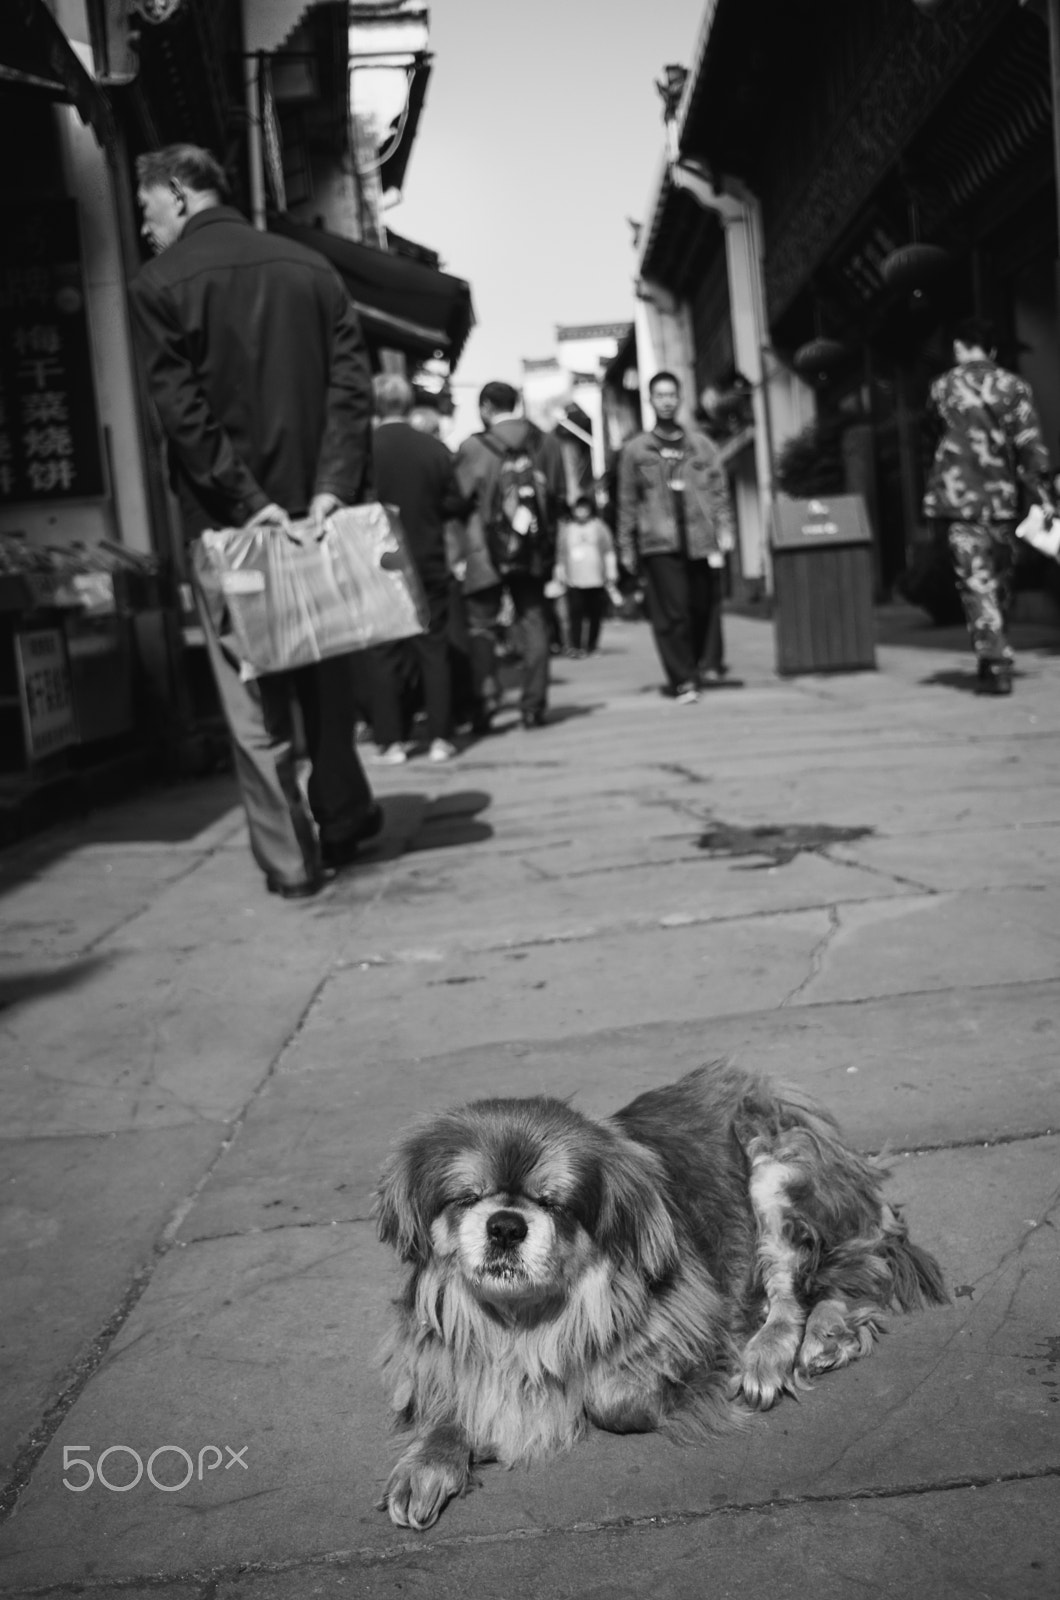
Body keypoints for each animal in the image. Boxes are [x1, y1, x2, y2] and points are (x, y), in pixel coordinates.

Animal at [373, 1062, 947, 1523]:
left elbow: (609, 1398)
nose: (506, 1225)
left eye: (554, 1204)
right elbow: (454, 1407)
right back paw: (830, 1335)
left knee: (801, 1286)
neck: (527, 1318)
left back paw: (769, 1355)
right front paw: (429, 1461)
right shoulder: (451, 1358)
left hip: (773, 1167)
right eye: (468, 1198)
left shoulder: (697, 1330)